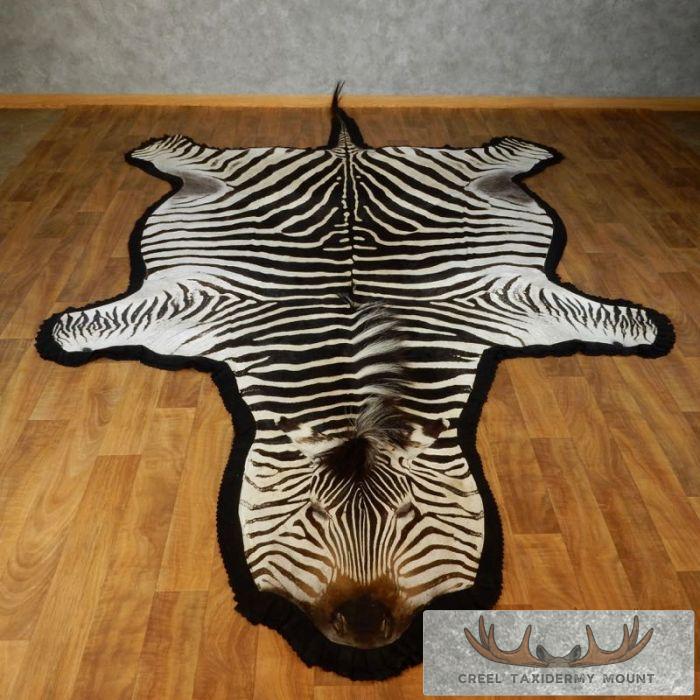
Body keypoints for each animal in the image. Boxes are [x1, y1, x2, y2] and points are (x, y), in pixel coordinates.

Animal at [39, 94, 672, 657]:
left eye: (409, 516)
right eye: (312, 518)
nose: (364, 626)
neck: (355, 372)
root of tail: (346, 150)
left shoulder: (505, 298)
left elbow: (604, 319)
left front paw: (653, 330)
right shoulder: (195, 304)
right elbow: (99, 324)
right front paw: (54, 335)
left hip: (460, 175)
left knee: (496, 157)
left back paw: (533, 146)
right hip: (232, 173)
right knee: (196, 157)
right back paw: (153, 145)